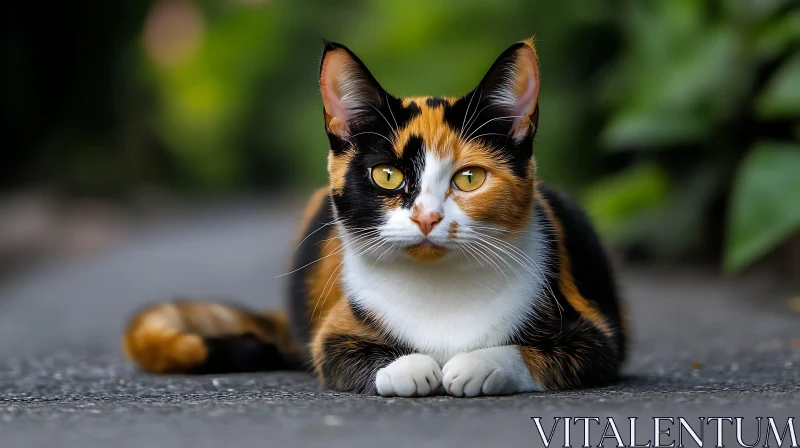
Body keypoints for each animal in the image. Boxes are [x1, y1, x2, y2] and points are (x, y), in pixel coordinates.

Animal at [123, 37, 624, 396]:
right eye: (386, 175)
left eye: (469, 178)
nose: (427, 218)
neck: (439, 293)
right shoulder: (333, 332)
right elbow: (343, 355)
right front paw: (413, 368)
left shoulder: (597, 333)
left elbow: (543, 354)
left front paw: (476, 366)